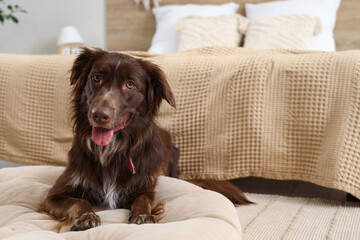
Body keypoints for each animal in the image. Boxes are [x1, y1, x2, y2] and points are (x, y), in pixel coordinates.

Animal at [43, 48, 250, 231]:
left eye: (130, 84)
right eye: (96, 78)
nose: (99, 115)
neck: (112, 150)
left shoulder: (145, 185)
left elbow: (143, 199)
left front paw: (143, 215)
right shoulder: (54, 194)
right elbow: (79, 202)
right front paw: (86, 216)